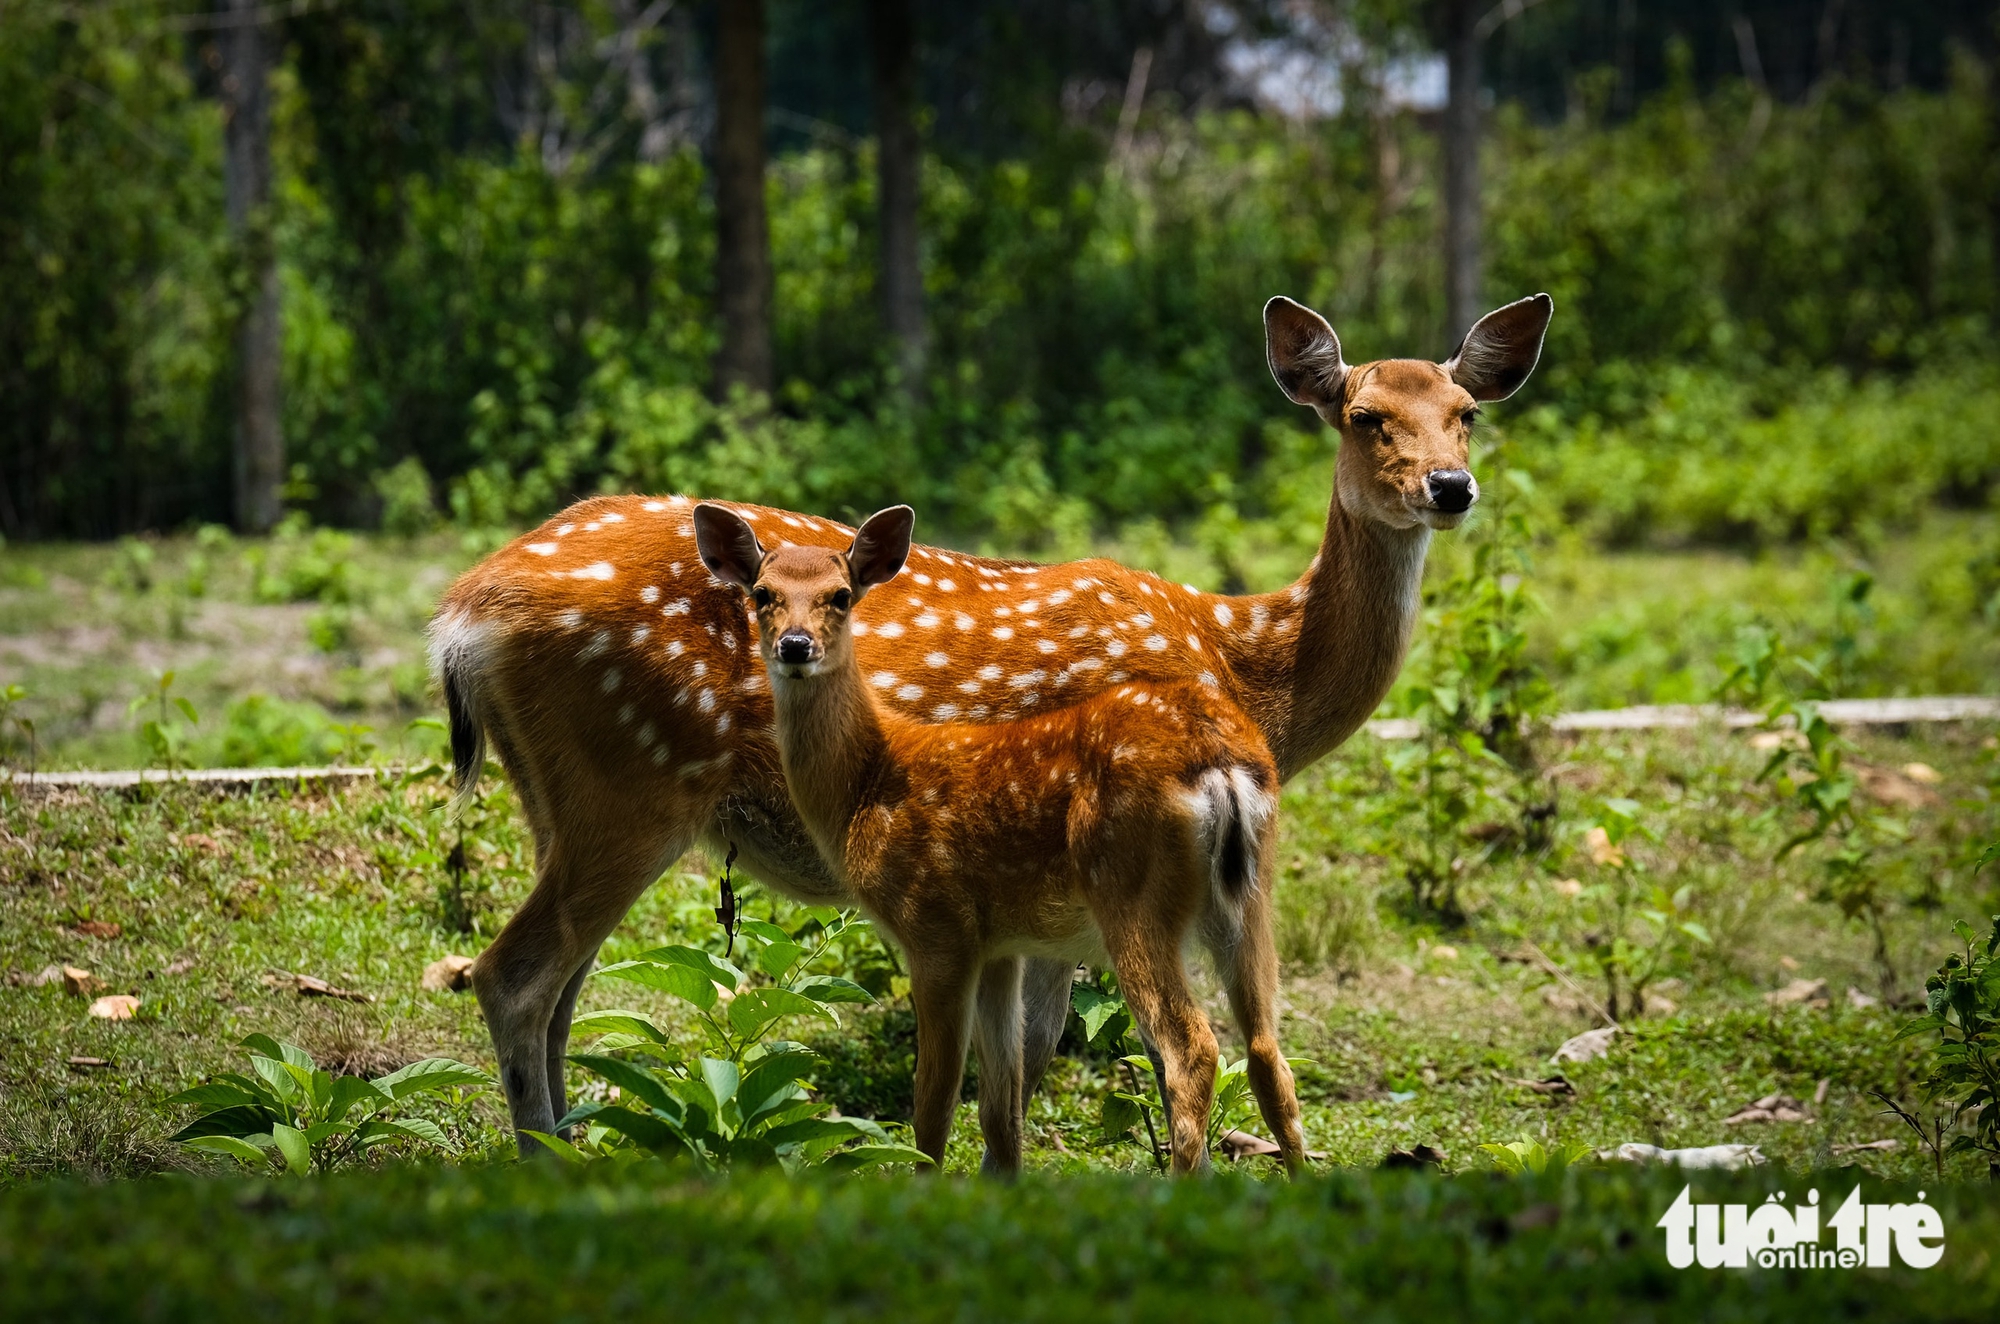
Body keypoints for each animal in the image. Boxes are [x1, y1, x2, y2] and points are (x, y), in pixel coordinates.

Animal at [690, 501, 1300, 1173]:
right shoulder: (1002, 943)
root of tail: (1221, 764)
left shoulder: (937, 925)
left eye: (842, 596)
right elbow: (1002, 1108)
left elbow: (933, 1107)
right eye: (763, 593)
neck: (868, 784)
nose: (795, 646)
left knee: (1192, 1051)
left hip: (1132, 893)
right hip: (1250, 894)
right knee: (1268, 1052)